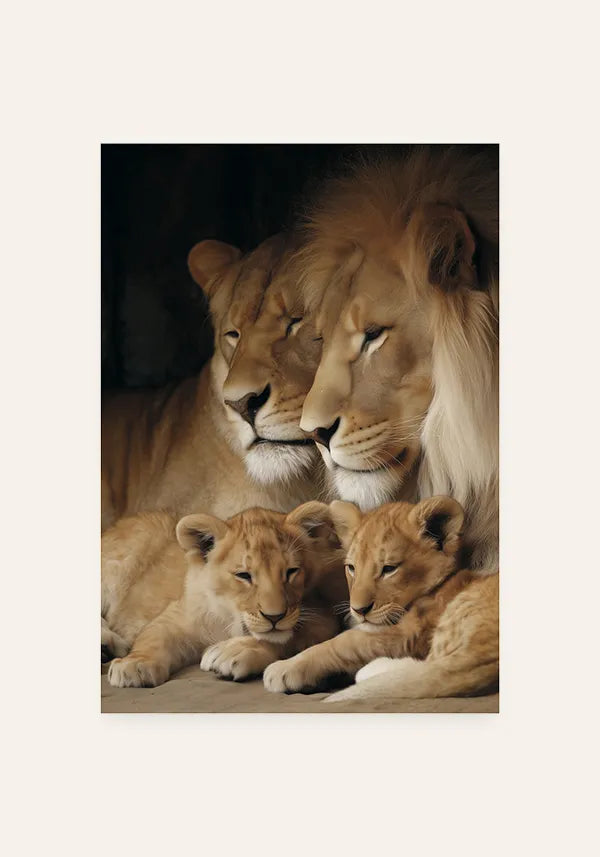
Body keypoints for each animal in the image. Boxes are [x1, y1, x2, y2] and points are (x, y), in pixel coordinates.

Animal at [105, 502, 346, 688]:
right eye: (244, 575)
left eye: (291, 571)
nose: (275, 617)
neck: (229, 618)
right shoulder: (176, 617)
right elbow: (153, 637)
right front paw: (134, 665)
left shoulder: (323, 615)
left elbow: (288, 636)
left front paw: (232, 651)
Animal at [263, 496, 498, 700]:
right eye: (352, 568)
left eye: (389, 569)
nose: (359, 610)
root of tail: (487, 655)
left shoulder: (407, 632)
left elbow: (342, 642)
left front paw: (284, 668)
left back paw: (367, 671)